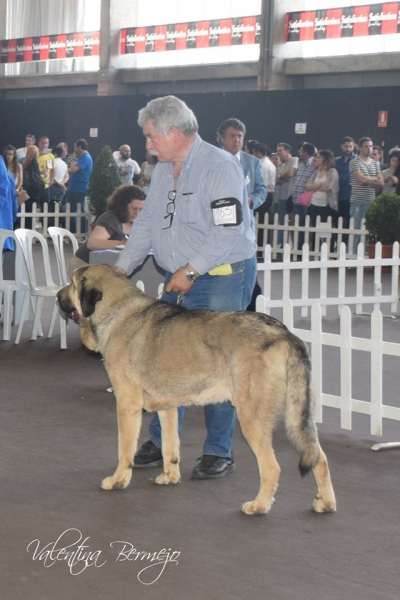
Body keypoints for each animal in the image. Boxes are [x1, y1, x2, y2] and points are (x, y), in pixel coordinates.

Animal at [57, 266, 336, 516]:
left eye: (72, 283)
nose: (57, 296)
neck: (117, 310)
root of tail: (284, 334)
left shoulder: (127, 404)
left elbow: (124, 450)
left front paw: (117, 481)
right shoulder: (168, 408)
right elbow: (170, 447)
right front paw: (169, 477)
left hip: (252, 417)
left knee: (272, 468)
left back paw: (258, 506)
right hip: (298, 415)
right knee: (319, 456)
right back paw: (325, 502)